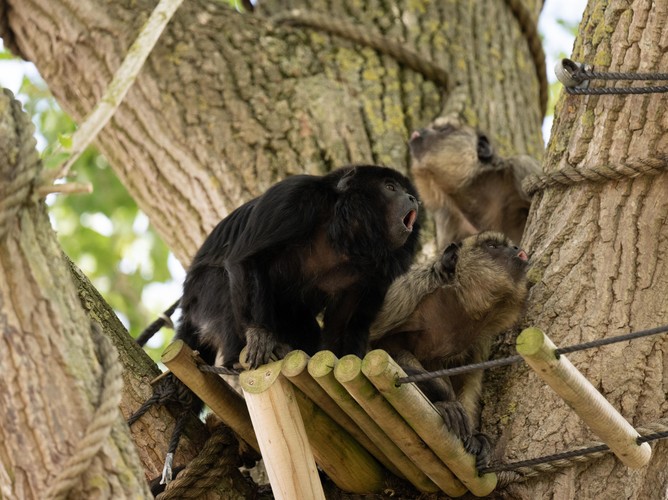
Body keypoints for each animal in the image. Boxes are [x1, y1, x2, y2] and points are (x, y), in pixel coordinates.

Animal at [177, 165, 420, 370]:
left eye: (405, 191)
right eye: (390, 187)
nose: (412, 199)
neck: (345, 236)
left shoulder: (377, 273)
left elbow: (346, 323)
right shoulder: (292, 197)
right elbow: (246, 259)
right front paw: (258, 333)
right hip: (203, 296)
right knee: (221, 284)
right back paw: (235, 359)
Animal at [369, 232, 530, 465]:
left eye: (509, 245)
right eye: (492, 246)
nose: (517, 248)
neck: (456, 305)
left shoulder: (480, 339)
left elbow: (469, 377)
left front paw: (475, 436)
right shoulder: (405, 294)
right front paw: (445, 400)